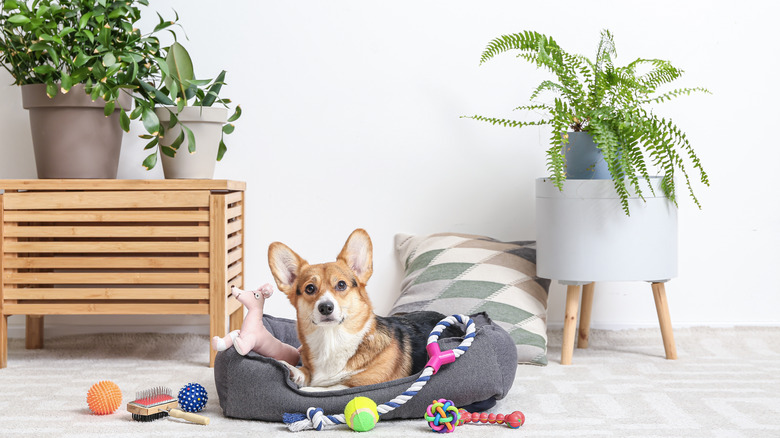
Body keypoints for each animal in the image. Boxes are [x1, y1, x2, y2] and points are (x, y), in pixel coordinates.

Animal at [268, 229, 458, 390]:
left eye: (341, 284)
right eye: (310, 288)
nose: (326, 307)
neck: (331, 340)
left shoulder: (366, 382)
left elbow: (327, 387)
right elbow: (305, 373)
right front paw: (292, 370)